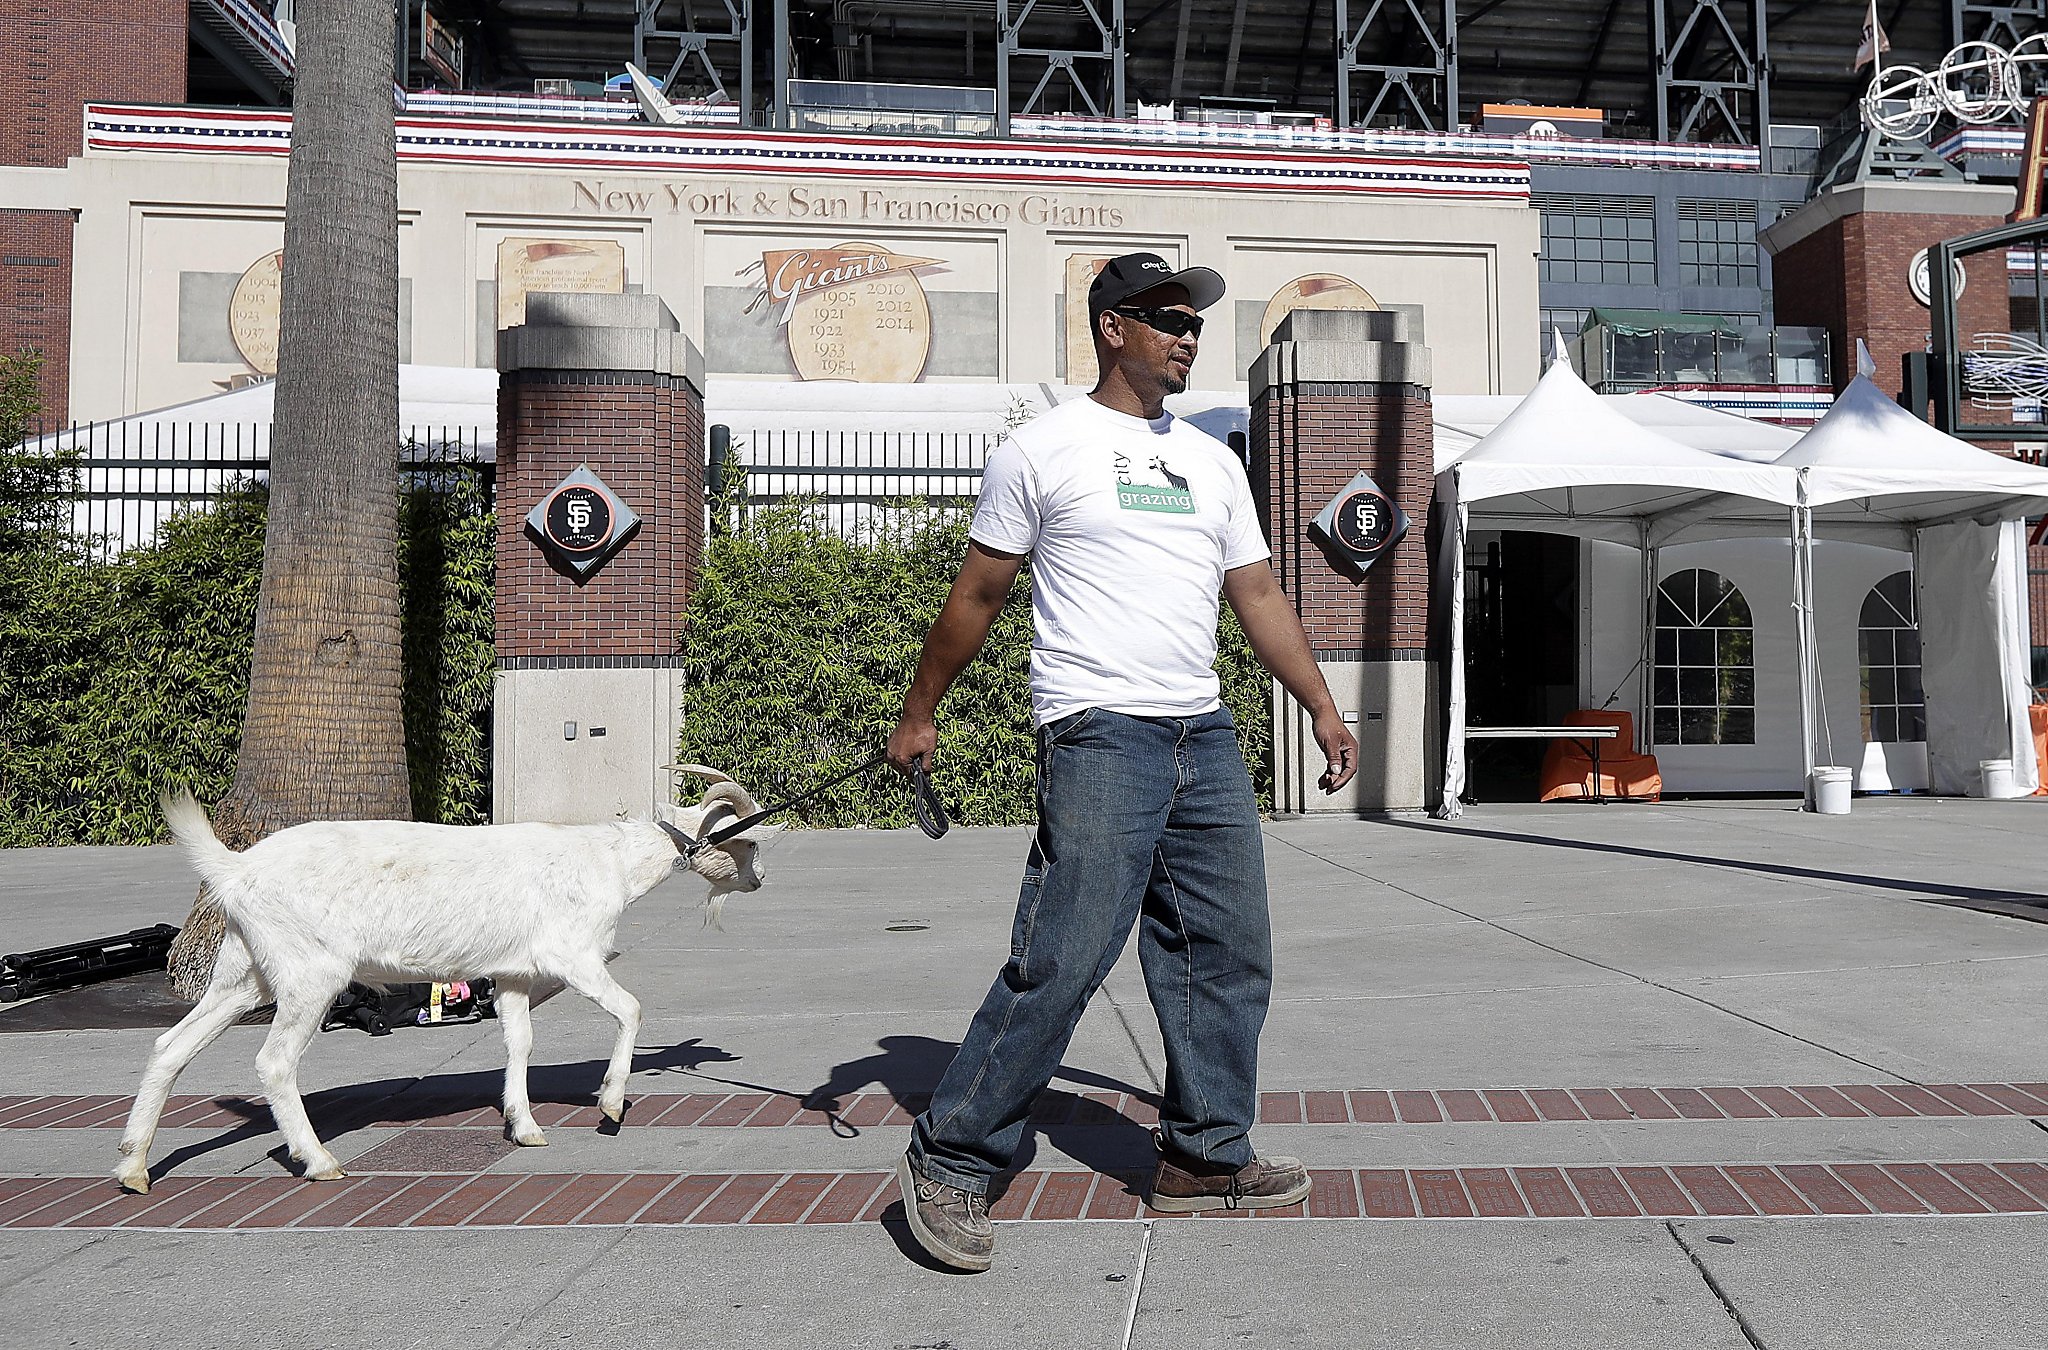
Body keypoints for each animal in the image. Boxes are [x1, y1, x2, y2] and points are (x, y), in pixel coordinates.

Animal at [119, 766, 774, 1196]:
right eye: (745, 838)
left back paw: (133, 1169)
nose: (760, 880)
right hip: (310, 975)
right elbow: (631, 1009)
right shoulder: (573, 956)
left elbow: (519, 1042)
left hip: (243, 974)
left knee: (170, 1046)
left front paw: (524, 1127)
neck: (611, 862)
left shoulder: (513, 973)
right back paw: (320, 1160)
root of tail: (235, 869)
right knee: (274, 1062)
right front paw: (610, 1106)